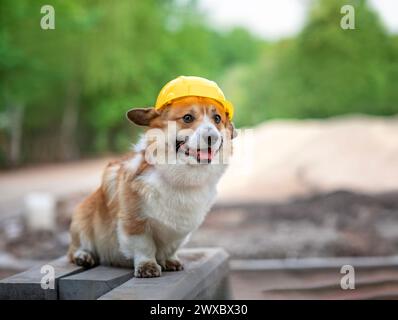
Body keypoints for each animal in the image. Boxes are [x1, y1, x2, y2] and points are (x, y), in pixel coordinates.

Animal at [68, 95, 236, 278]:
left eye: (217, 119)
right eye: (187, 118)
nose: (212, 136)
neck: (180, 175)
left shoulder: (181, 230)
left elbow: (172, 247)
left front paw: (170, 260)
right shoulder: (135, 222)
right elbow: (144, 246)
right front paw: (147, 266)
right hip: (83, 220)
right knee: (73, 249)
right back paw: (83, 256)